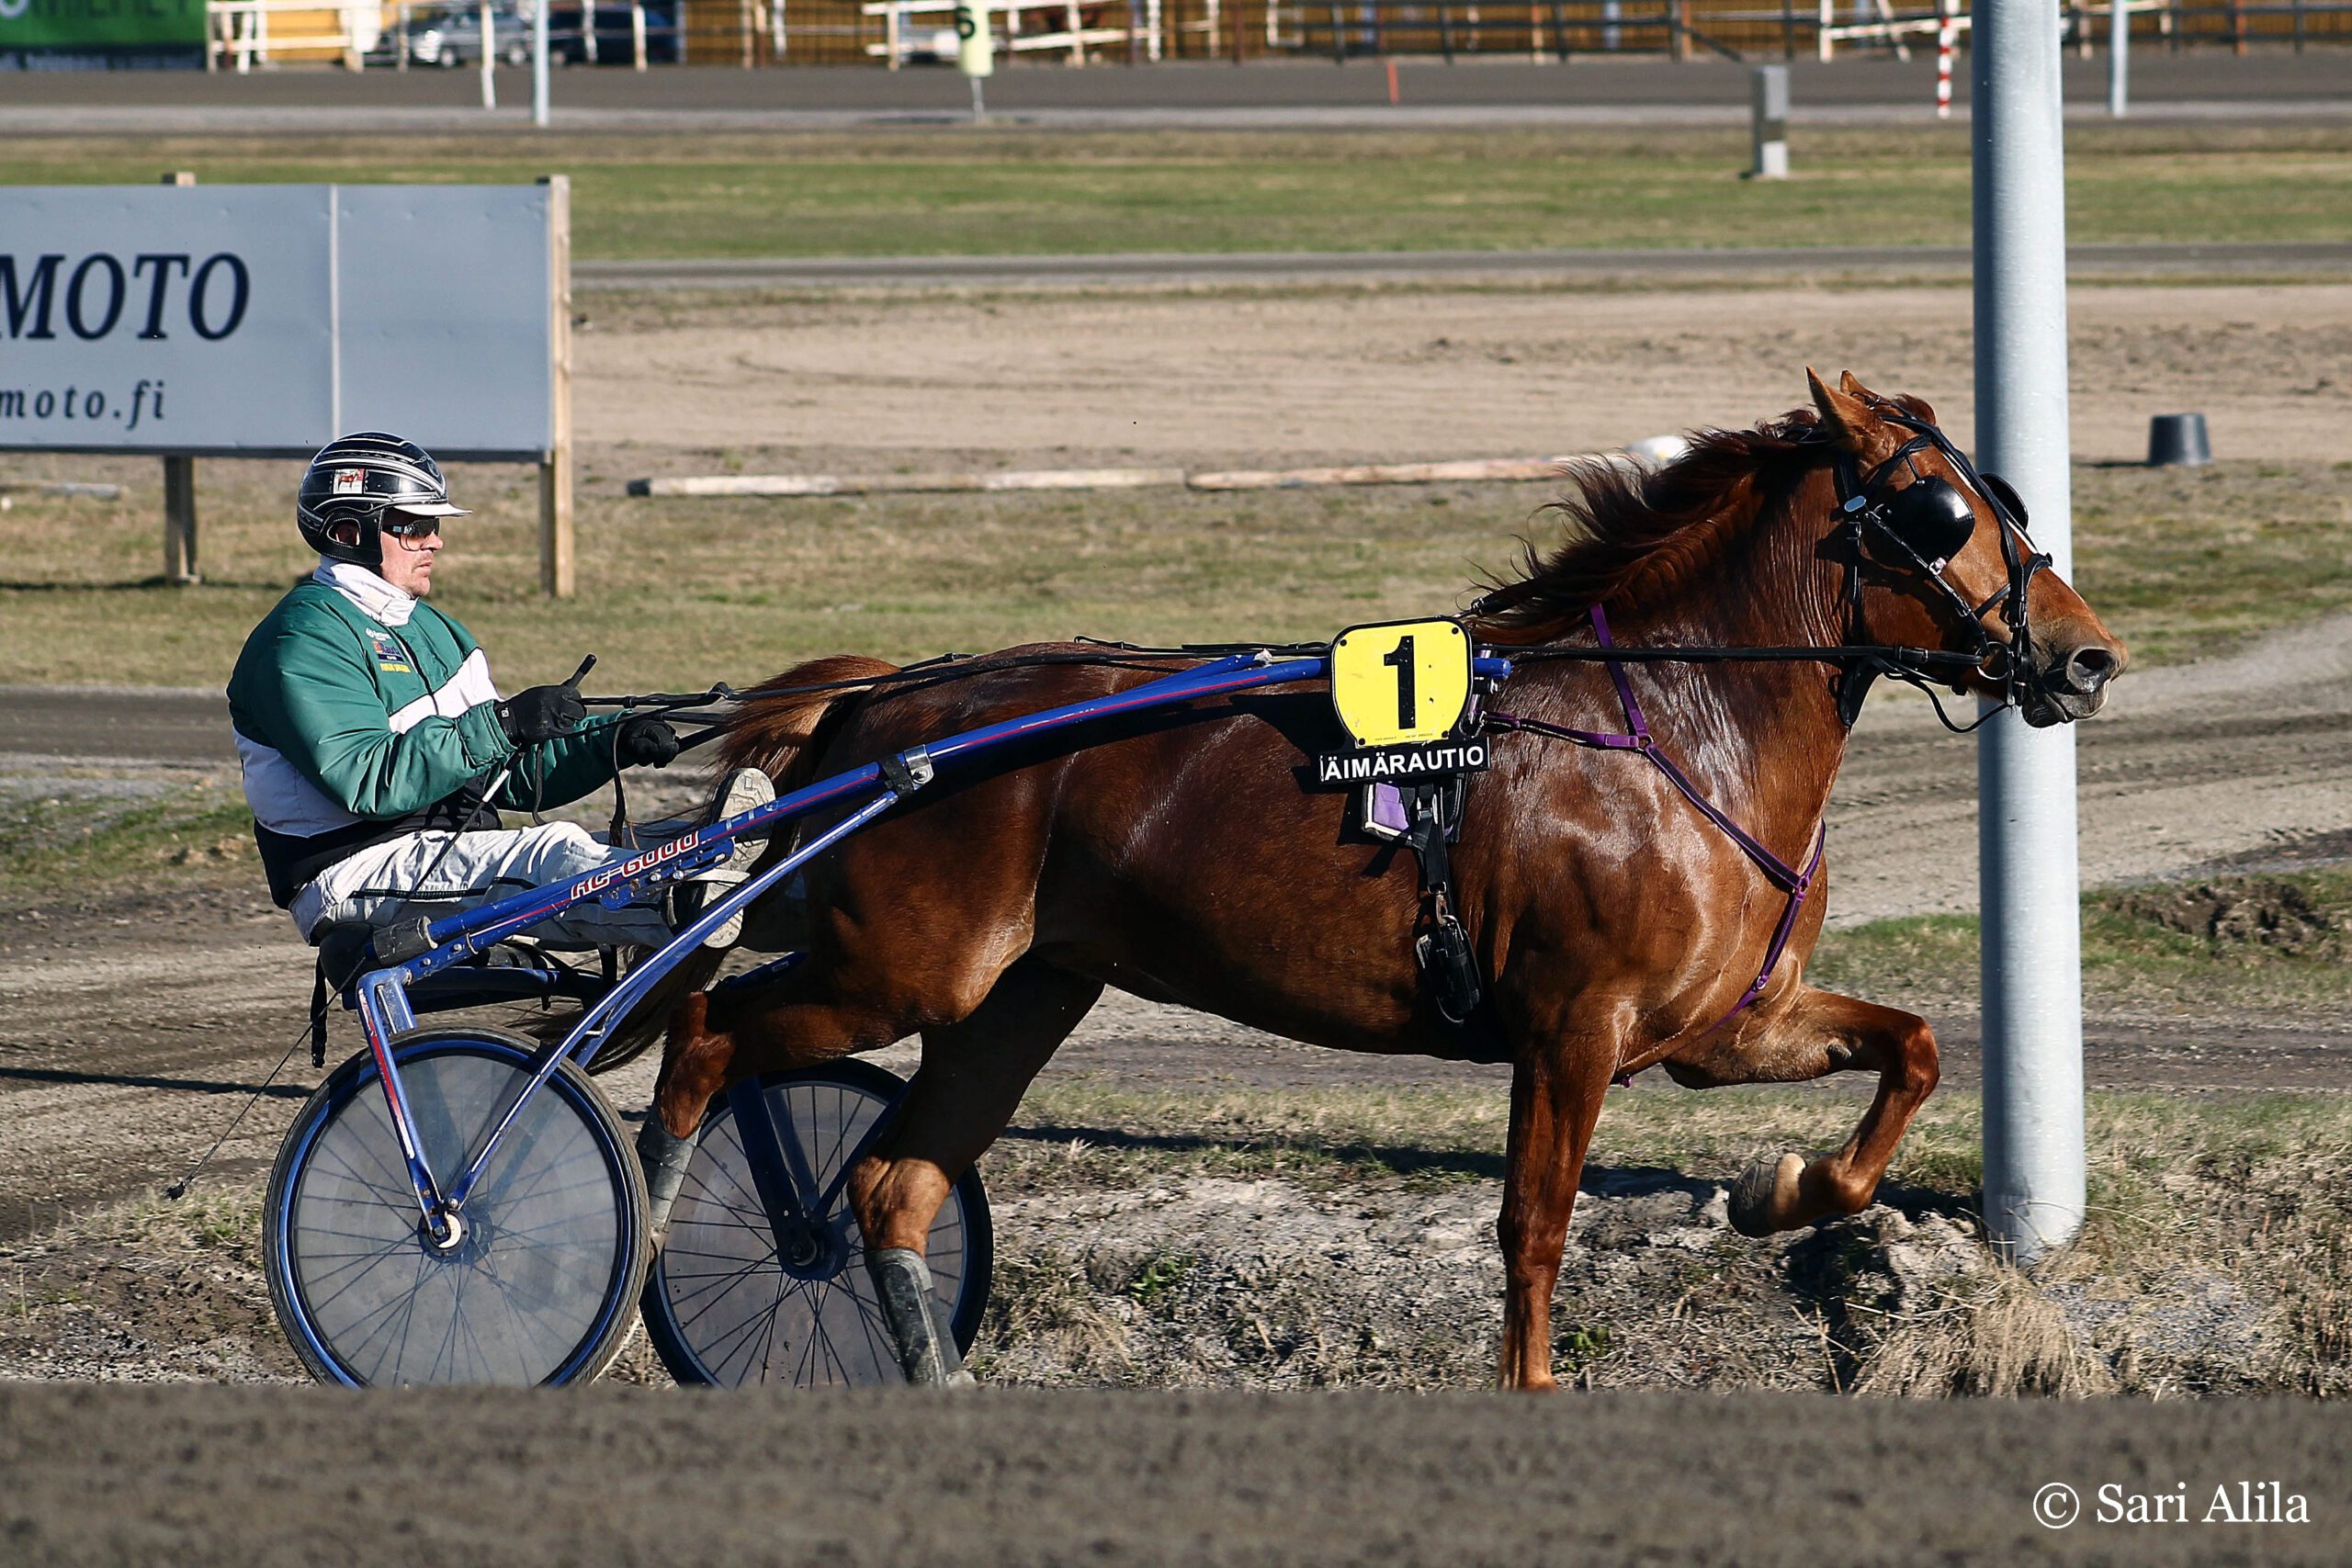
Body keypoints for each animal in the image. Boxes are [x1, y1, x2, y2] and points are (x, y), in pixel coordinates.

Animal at [641, 371, 2127, 1390]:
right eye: (1942, 513)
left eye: (2011, 503)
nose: (2087, 654)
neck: (1673, 723)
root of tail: (884, 706)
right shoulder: (1571, 1030)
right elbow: (1533, 1232)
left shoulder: (1715, 1026)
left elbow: (1914, 1048)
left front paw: (1784, 1189)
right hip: (902, 970)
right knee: (707, 1033)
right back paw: (647, 1215)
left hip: (1021, 991)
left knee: (896, 1183)